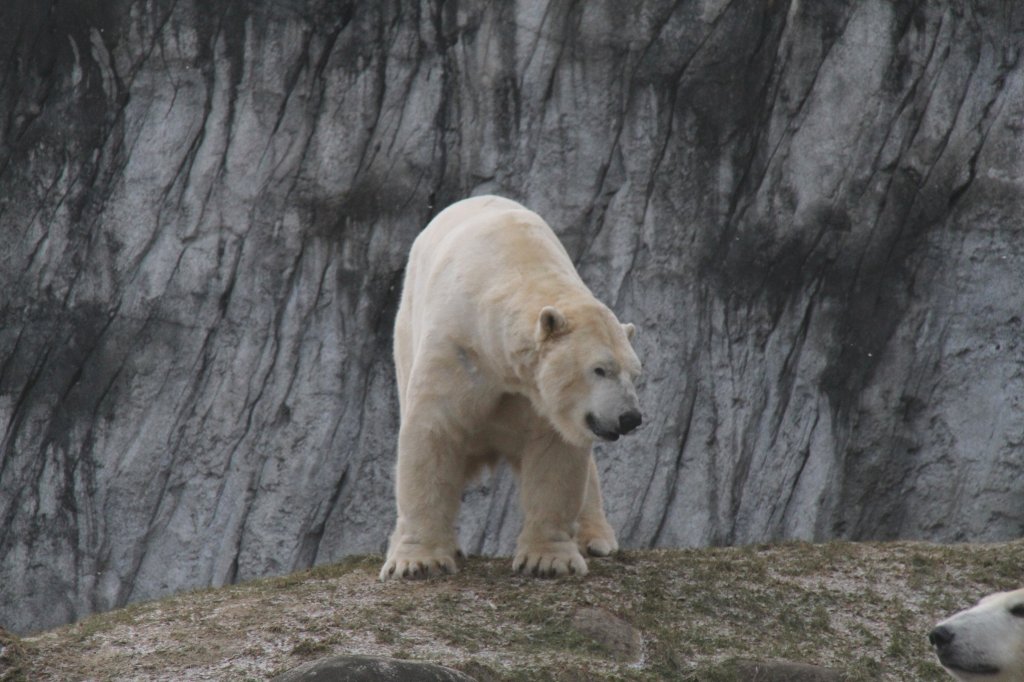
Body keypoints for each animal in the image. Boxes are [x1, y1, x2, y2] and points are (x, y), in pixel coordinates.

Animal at [380, 195, 643, 577]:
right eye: (600, 369)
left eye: (635, 373)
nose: (630, 417)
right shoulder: (456, 347)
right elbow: (433, 434)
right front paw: (417, 562)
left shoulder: (542, 397)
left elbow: (555, 452)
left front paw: (548, 561)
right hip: (405, 332)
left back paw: (597, 539)